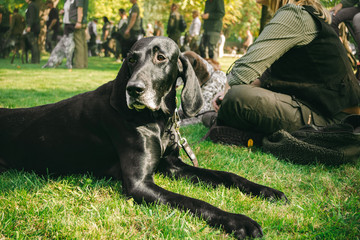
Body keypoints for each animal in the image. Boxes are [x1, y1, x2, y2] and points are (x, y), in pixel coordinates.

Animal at [0, 36, 286, 239]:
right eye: (130, 60)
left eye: (160, 57)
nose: (134, 89)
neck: (158, 120)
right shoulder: (139, 184)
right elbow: (195, 201)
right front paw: (238, 220)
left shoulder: (174, 166)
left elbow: (228, 175)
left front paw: (266, 190)